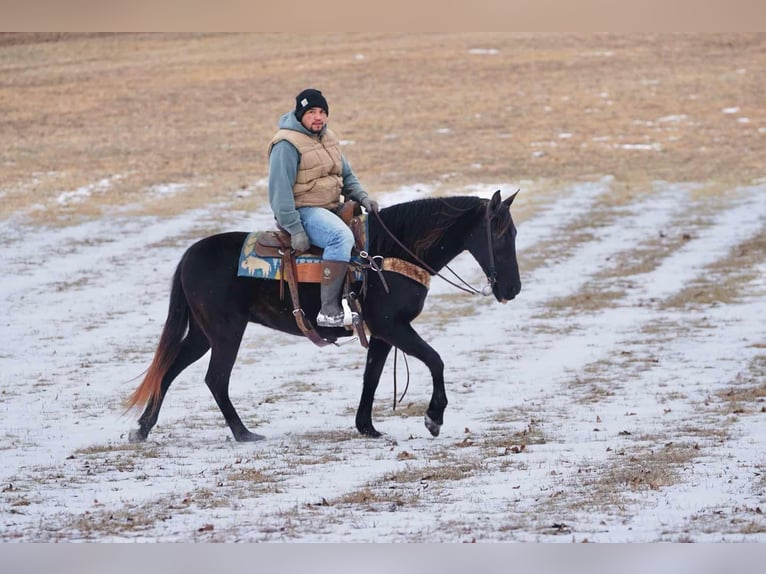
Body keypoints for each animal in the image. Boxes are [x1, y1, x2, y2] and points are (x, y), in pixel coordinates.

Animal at [127, 191, 520, 444]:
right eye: (501, 235)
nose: (513, 289)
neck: (388, 255)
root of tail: (190, 255)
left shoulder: (381, 333)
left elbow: (371, 377)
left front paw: (367, 427)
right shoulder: (394, 327)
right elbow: (435, 360)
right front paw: (433, 418)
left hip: (202, 334)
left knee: (170, 370)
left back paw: (142, 428)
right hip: (225, 333)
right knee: (215, 379)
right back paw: (243, 433)